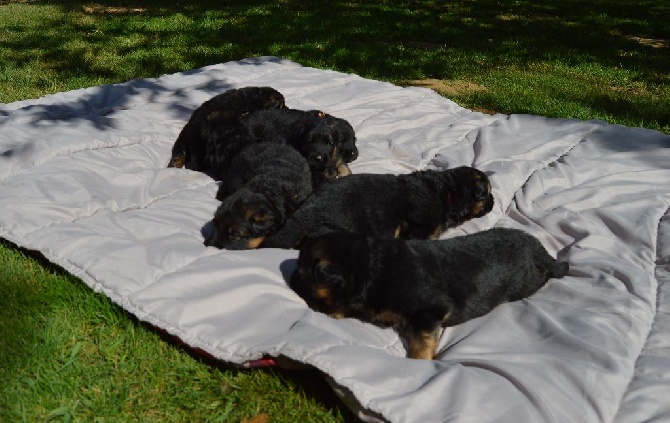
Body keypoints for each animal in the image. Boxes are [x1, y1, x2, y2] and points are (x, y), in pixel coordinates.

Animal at [292, 229, 568, 362]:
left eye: (303, 273)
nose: (291, 276)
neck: (369, 262)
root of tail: (534, 243)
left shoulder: (430, 311)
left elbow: (422, 342)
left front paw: (419, 362)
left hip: (527, 281)